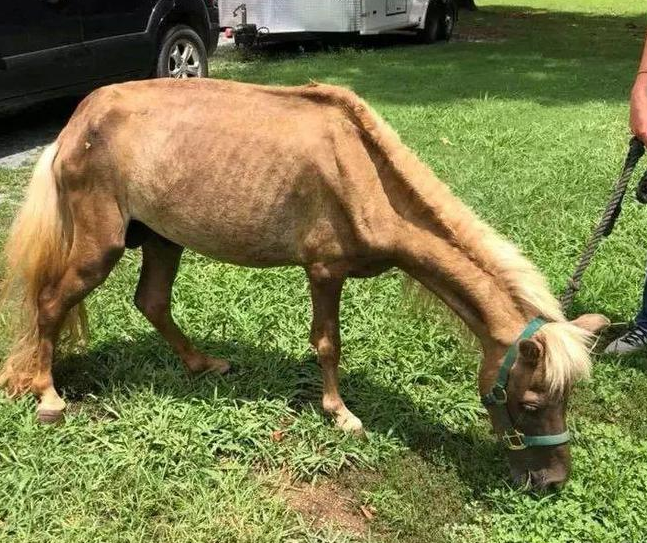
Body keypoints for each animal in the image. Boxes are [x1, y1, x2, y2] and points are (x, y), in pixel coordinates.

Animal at [0, 79, 608, 490]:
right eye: (529, 402)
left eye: (567, 399)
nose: (552, 481)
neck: (364, 174)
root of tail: (74, 126)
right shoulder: (324, 270)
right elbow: (328, 343)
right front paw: (341, 414)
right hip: (99, 247)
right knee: (51, 303)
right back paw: (49, 396)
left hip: (161, 238)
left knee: (150, 301)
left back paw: (202, 365)